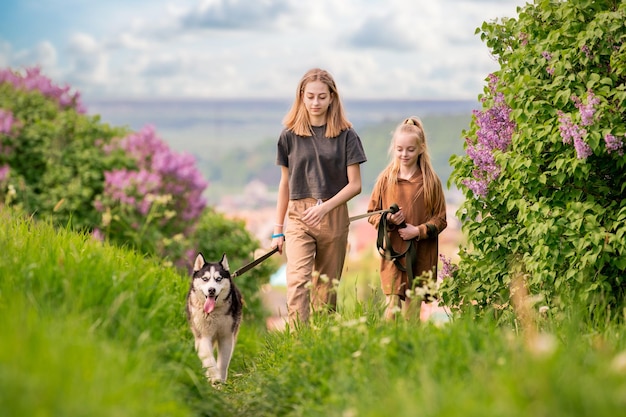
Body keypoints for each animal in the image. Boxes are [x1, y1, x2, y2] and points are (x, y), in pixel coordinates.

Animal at [185, 252, 241, 382]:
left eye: (218, 279)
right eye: (205, 279)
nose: (211, 290)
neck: (213, 313)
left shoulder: (226, 336)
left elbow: (223, 363)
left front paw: (221, 380)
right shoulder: (203, 336)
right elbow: (209, 359)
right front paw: (215, 378)